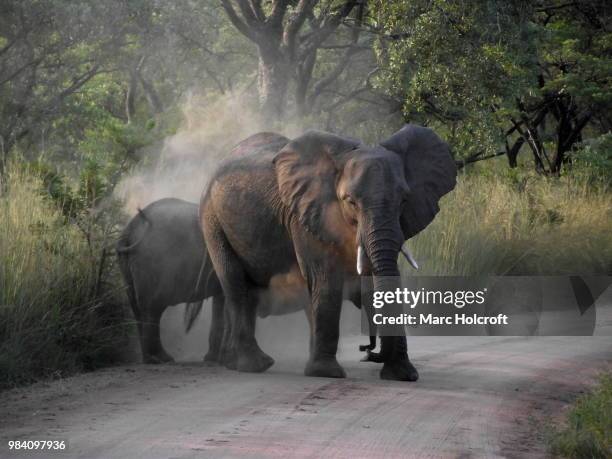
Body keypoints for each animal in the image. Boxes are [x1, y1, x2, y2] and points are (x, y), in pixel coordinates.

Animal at [203, 125, 456, 380]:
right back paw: (255, 365)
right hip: (212, 220)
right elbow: (325, 280)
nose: (367, 351)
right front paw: (326, 373)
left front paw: (404, 375)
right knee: (235, 286)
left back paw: (237, 363)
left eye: (404, 200)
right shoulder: (306, 216)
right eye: (350, 201)